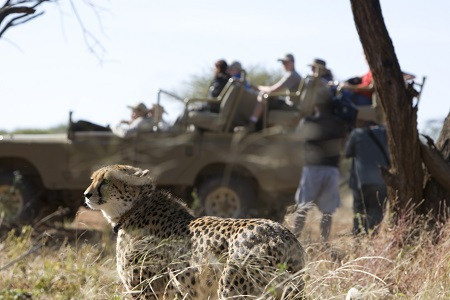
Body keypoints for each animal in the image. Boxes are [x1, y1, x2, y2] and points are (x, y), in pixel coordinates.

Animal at [84, 165, 306, 298]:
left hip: (232, 289)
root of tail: (282, 234)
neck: (136, 208)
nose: (86, 194)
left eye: (105, 181)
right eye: (92, 179)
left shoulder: (146, 290)